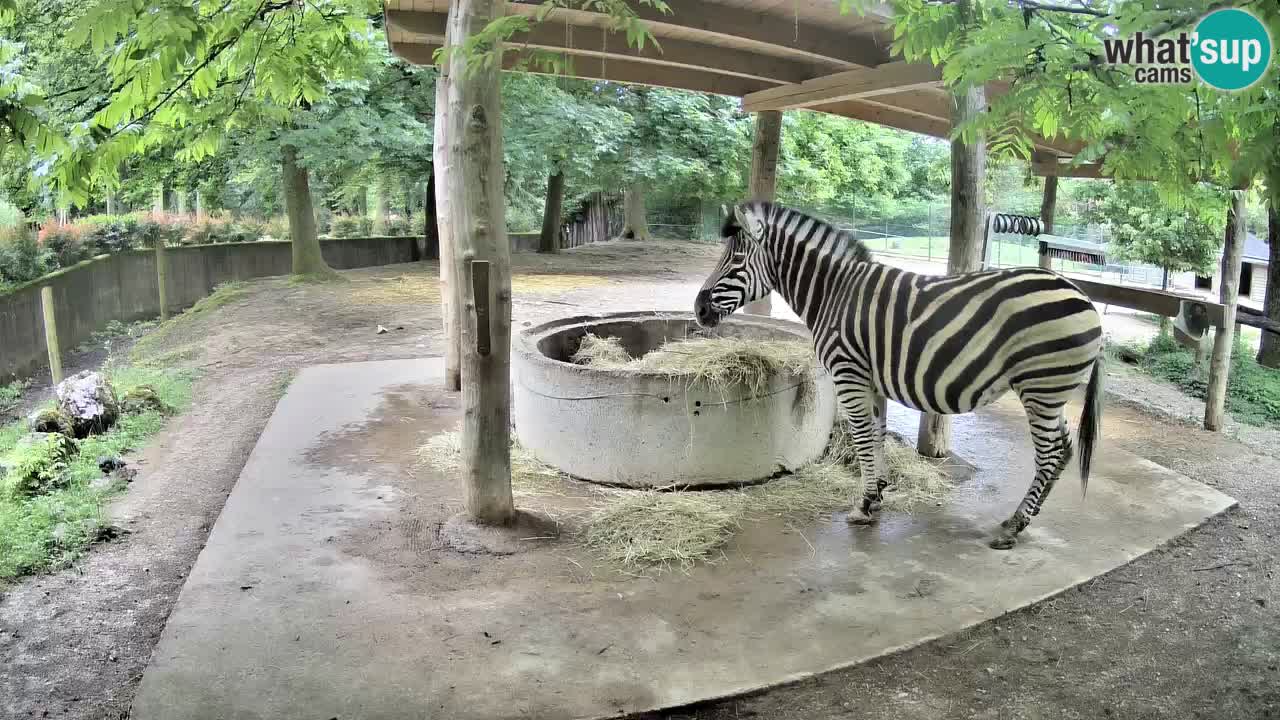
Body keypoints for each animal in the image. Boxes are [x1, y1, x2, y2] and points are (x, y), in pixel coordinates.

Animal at [694, 201, 1104, 549]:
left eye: (737, 259)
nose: (698, 310)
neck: (834, 293)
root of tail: (1084, 298)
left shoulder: (848, 373)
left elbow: (861, 438)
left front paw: (863, 506)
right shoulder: (869, 379)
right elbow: (875, 434)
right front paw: (876, 495)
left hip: (1040, 388)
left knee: (1050, 454)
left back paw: (1013, 527)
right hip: (1052, 393)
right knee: (1064, 449)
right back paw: (1023, 521)